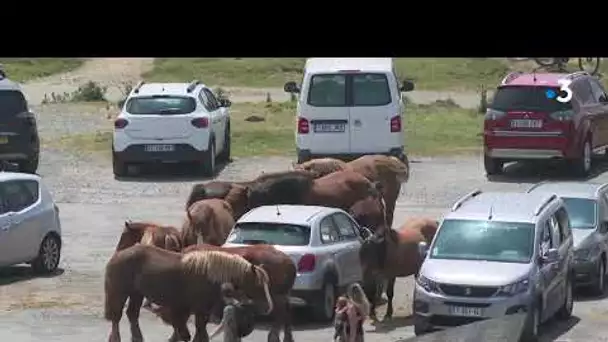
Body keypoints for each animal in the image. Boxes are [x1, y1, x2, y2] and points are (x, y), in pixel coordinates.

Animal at [105, 244, 274, 342]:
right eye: (258, 284)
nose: (268, 307)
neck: (208, 272)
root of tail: (118, 255)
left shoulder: (199, 309)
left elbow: (196, 331)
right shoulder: (199, 308)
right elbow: (198, 331)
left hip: (137, 294)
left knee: (132, 315)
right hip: (121, 293)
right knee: (116, 317)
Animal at [151, 244, 296, 342]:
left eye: (167, 315)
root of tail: (290, 262)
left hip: (276, 296)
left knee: (281, 313)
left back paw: (274, 336)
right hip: (284, 294)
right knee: (287, 313)